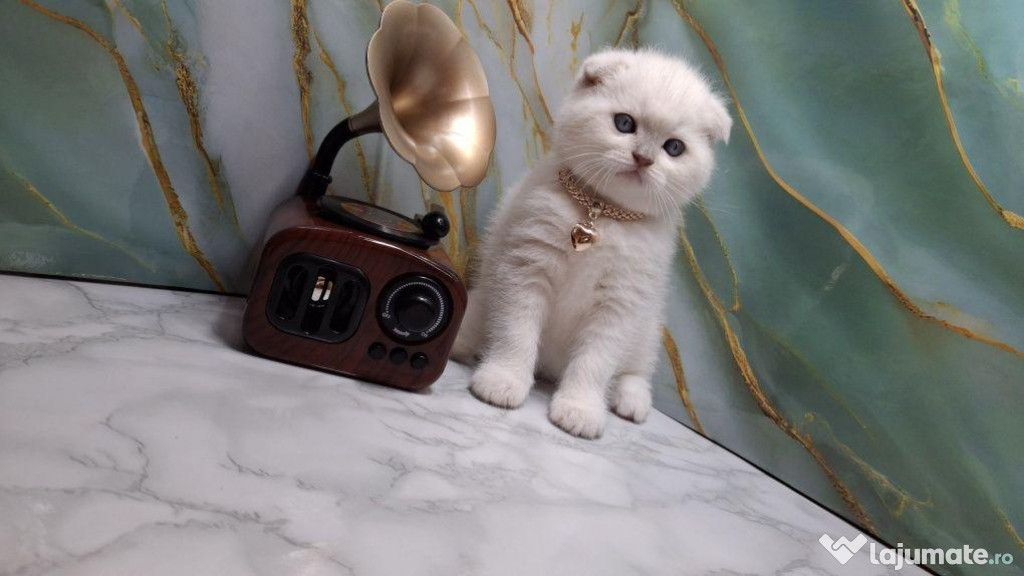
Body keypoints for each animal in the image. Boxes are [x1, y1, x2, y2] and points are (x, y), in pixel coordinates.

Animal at [452, 49, 733, 436]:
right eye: (624, 123)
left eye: (674, 148)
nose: (644, 158)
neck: (602, 212)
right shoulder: (526, 266)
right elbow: (516, 330)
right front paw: (504, 379)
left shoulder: (621, 302)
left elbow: (596, 360)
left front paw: (579, 408)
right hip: (485, 294)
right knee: (478, 318)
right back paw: (462, 341)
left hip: (647, 327)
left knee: (635, 368)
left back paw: (631, 400)